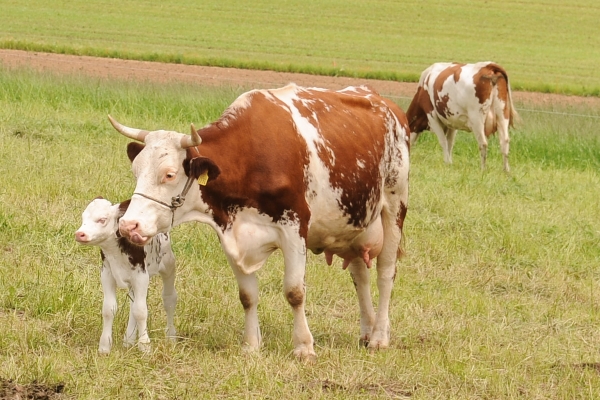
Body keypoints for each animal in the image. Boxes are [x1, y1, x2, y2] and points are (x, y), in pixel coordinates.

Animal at [75, 197, 178, 354]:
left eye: (102, 219)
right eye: (83, 217)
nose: (80, 233)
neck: (115, 253)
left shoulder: (141, 277)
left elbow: (141, 311)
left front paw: (145, 346)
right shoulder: (107, 274)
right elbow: (109, 309)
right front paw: (105, 347)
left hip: (168, 265)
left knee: (169, 299)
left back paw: (171, 336)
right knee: (133, 304)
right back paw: (129, 340)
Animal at [108, 83, 410, 360]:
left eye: (169, 174)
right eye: (136, 170)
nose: (128, 226)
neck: (250, 155)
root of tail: (387, 104)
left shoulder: (294, 229)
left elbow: (294, 292)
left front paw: (303, 347)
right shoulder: (230, 234)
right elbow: (247, 296)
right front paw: (251, 345)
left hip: (395, 206)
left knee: (385, 274)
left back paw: (379, 336)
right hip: (355, 224)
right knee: (361, 277)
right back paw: (367, 330)